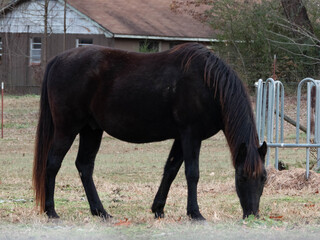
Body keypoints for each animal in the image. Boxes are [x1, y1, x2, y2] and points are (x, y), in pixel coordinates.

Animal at [32, 42, 268, 219]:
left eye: (264, 178)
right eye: (242, 178)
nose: (252, 215)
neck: (207, 83)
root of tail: (58, 60)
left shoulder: (181, 137)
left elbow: (171, 170)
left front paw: (158, 209)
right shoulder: (191, 135)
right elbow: (192, 173)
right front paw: (195, 213)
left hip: (91, 130)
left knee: (84, 166)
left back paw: (101, 212)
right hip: (67, 129)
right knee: (52, 164)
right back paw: (51, 211)